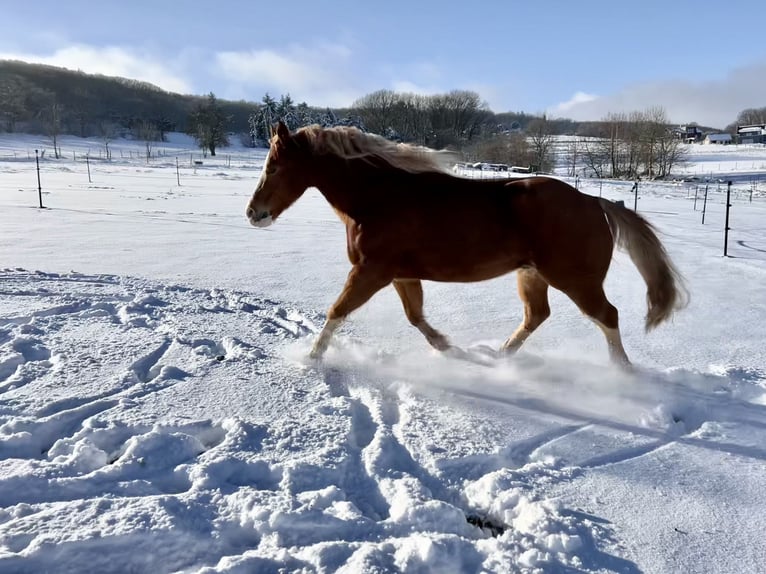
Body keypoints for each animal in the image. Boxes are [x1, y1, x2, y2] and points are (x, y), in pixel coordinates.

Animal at [248, 120, 688, 368]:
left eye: (275, 166)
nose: (254, 214)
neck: (379, 197)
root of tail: (593, 202)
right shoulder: (400, 275)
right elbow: (415, 317)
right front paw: (449, 349)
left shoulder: (371, 271)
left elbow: (337, 311)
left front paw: (310, 359)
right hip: (532, 276)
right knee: (537, 316)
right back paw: (499, 356)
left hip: (575, 280)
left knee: (607, 316)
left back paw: (622, 373)